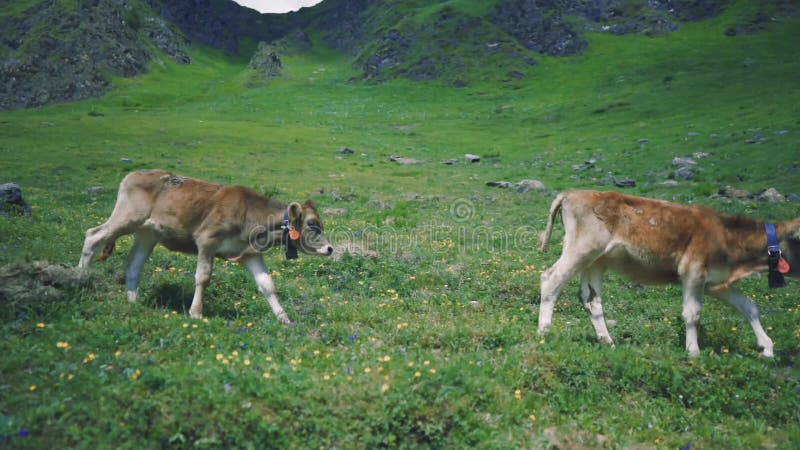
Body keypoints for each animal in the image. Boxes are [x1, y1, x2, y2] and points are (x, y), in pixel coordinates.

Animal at [78, 168, 334, 320]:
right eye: (312, 224)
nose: (330, 248)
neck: (250, 215)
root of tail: (134, 174)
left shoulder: (250, 253)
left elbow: (267, 285)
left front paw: (284, 320)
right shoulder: (206, 241)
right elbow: (203, 277)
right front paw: (196, 313)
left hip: (147, 233)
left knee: (133, 263)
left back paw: (132, 302)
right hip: (126, 218)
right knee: (92, 236)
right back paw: (79, 279)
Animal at [536, 188, 800, 356]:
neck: (727, 235)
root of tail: (572, 193)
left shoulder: (715, 282)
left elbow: (749, 306)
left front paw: (766, 347)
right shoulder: (693, 271)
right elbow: (692, 313)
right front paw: (693, 351)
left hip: (595, 261)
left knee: (592, 301)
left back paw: (607, 341)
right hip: (581, 249)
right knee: (551, 279)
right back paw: (544, 332)